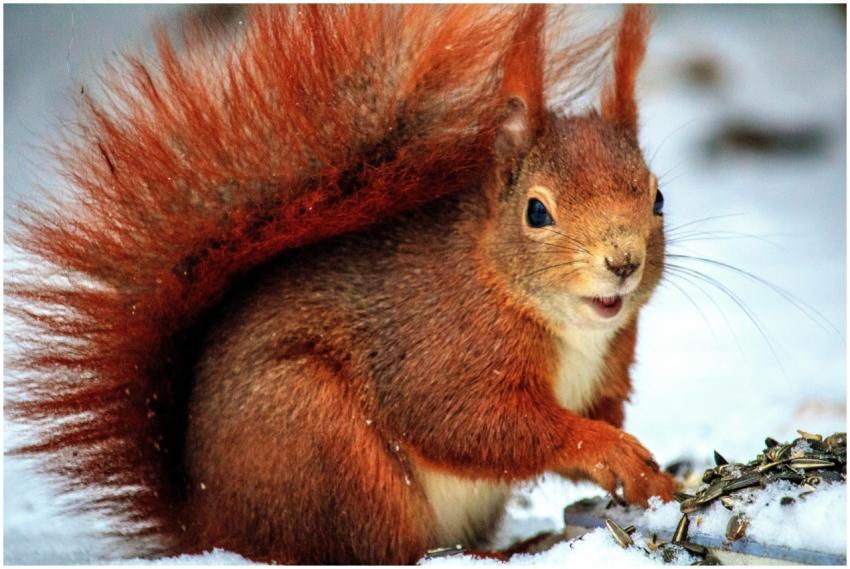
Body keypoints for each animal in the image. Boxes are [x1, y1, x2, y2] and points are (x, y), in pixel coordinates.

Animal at [8, 4, 675, 564]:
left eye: (658, 197)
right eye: (537, 212)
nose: (623, 261)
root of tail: (209, 526)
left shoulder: (607, 369)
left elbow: (597, 415)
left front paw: (653, 476)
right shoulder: (441, 350)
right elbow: (474, 424)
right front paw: (606, 448)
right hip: (325, 445)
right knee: (377, 550)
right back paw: (491, 554)